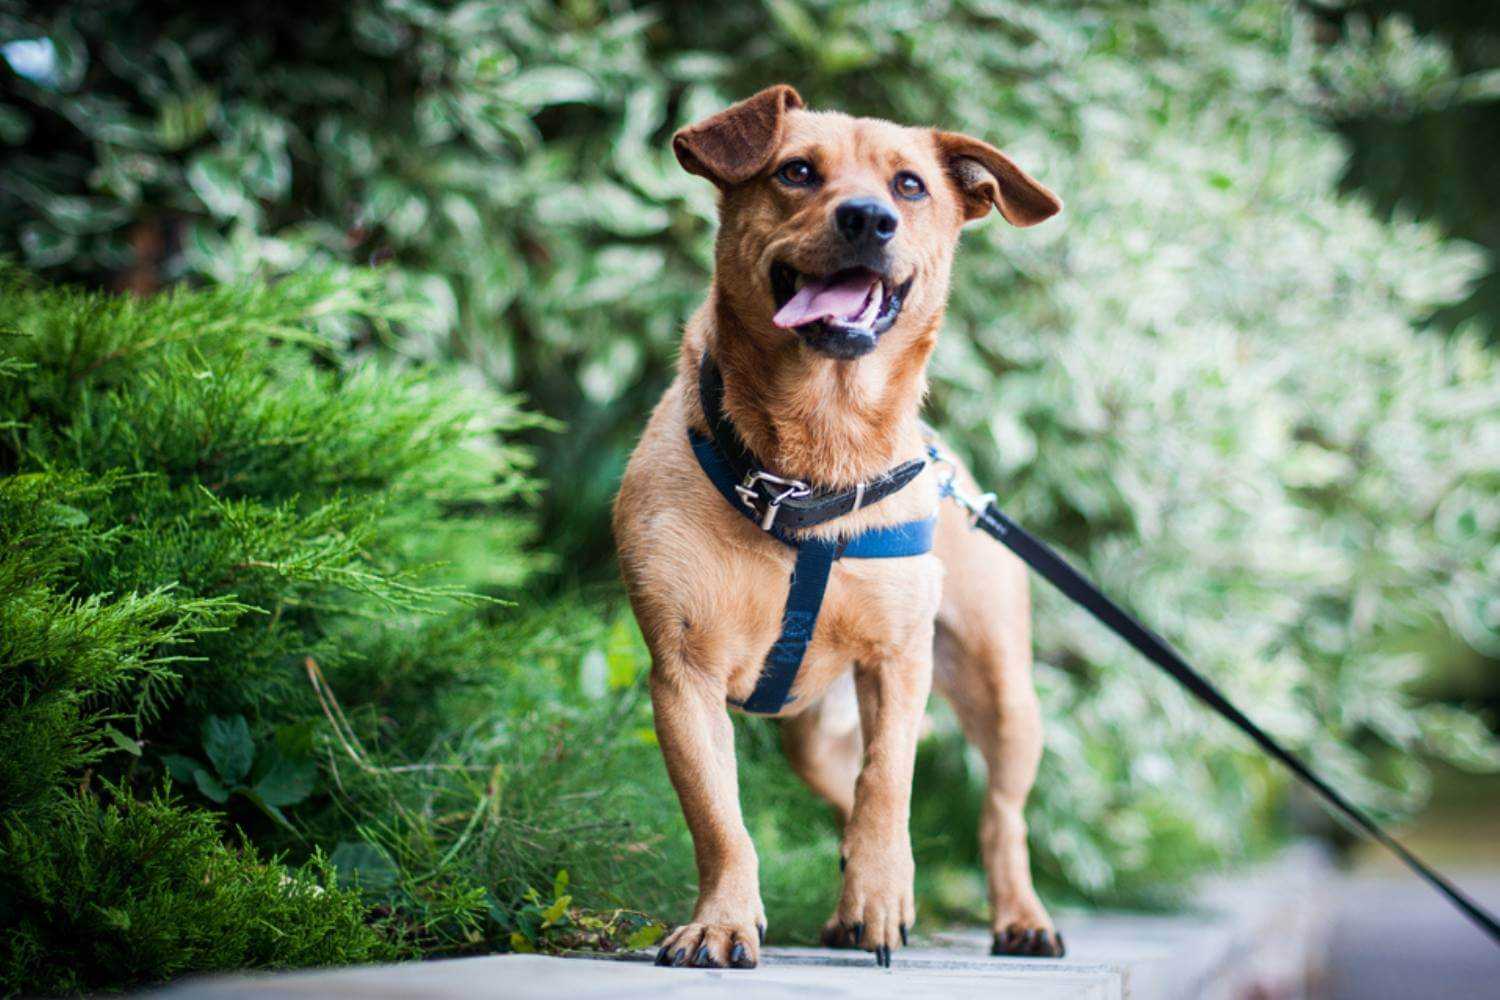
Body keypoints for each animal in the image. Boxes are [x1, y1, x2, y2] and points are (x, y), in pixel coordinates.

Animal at [612, 86, 1068, 971]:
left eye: (910, 186)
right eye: (795, 171)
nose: (867, 219)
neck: (810, 468)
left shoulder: (897, 663)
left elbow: (887, 787)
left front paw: (882, 900)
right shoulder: (684, 677)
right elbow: (721, 821)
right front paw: (724, 920)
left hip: (1003, 693)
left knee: (998, 817)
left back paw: (1016, 915)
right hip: (814, 738)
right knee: (844, 794)